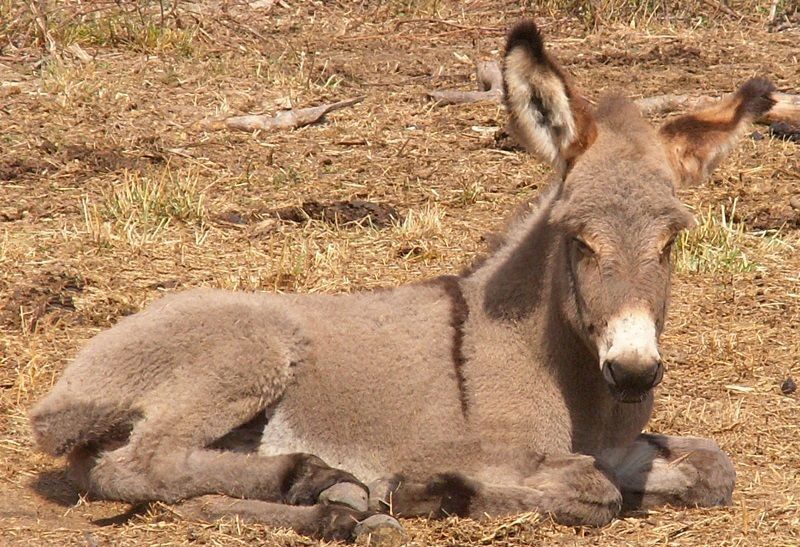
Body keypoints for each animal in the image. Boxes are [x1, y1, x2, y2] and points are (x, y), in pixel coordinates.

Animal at [28, 19, 772, 540]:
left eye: (672, 240)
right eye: (578, 240)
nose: (636, 370)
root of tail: (64, 387)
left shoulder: (620, 442)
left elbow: (715, 468)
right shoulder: (497, 449)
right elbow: (593, 493)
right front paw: (439, 489)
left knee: (182, 493)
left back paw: (331, 501)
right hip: (248, 351)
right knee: (144, 462)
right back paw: (319, 479)